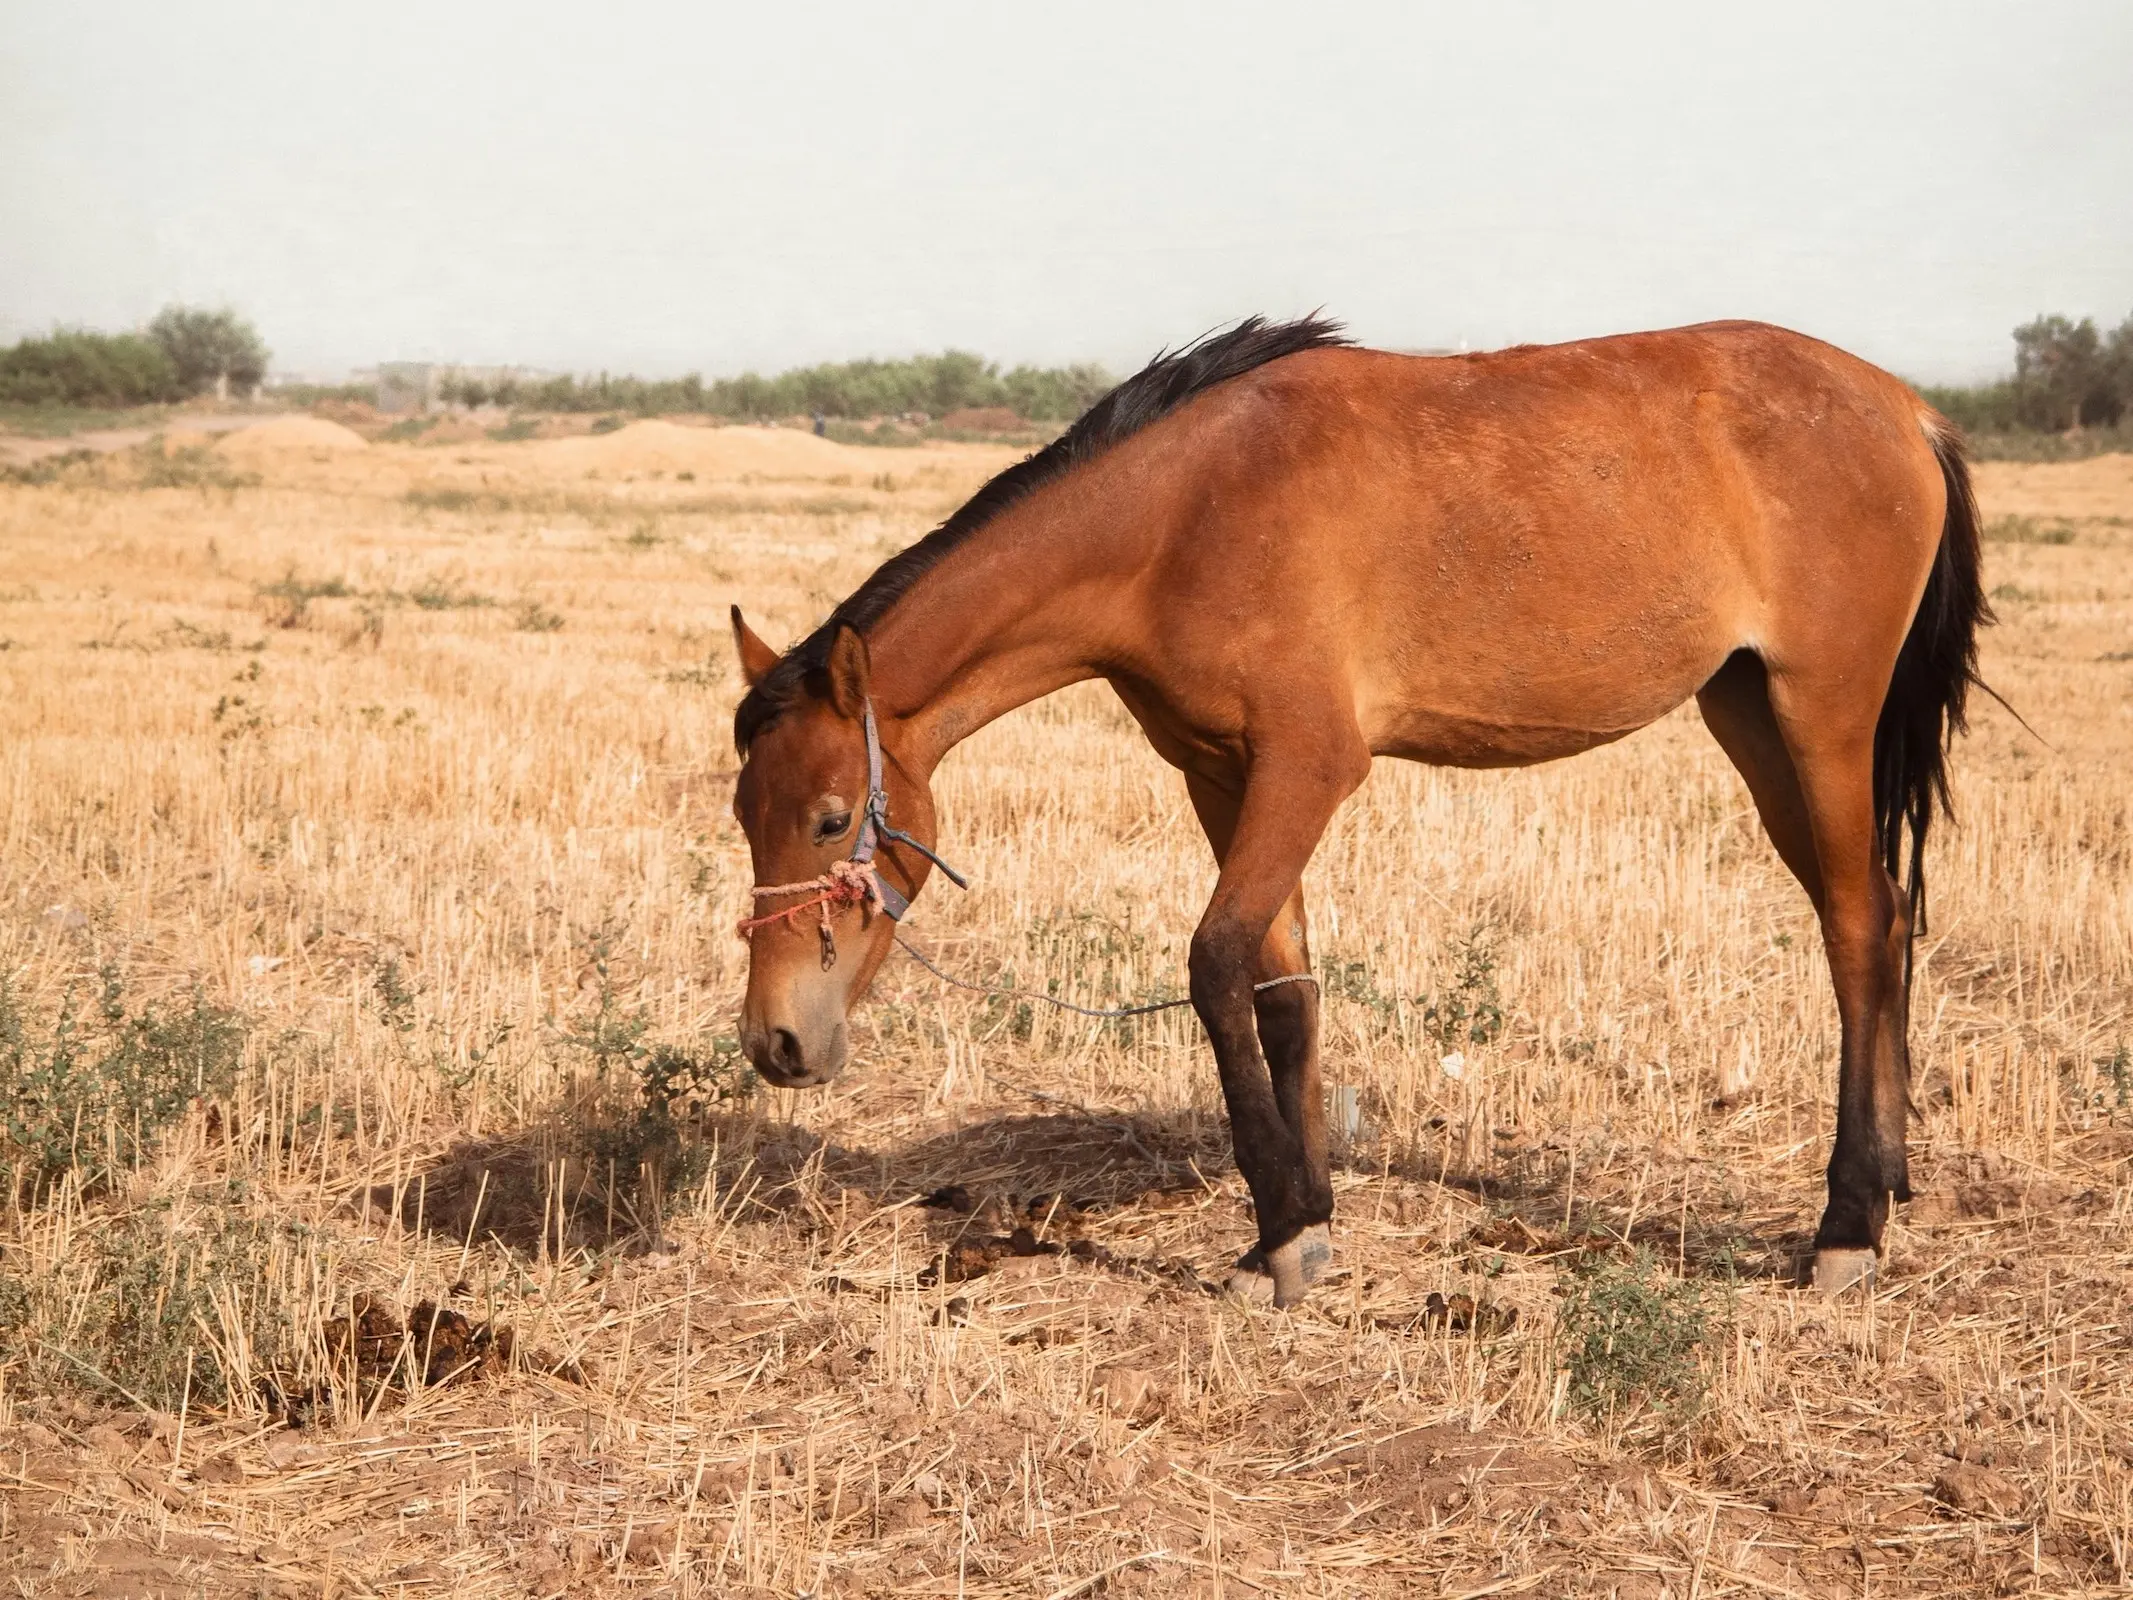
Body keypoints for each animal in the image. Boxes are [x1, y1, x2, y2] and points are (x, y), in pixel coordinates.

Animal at [729, 320, 1979, 1305]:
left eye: (832, 818)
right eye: (746, 814)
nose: (776, 1041)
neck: (1185, 519)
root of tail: (1908, 408)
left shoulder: (1308, 769)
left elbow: (1215, 963)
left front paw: (1284, 1227)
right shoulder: (1220, 775)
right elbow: (1282, 993)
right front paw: (1303, 1223)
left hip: (1821, 717)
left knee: (1858, 929)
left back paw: (1847, 1226)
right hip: (1752, 716)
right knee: (1882, 918)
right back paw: (1890, 1182)